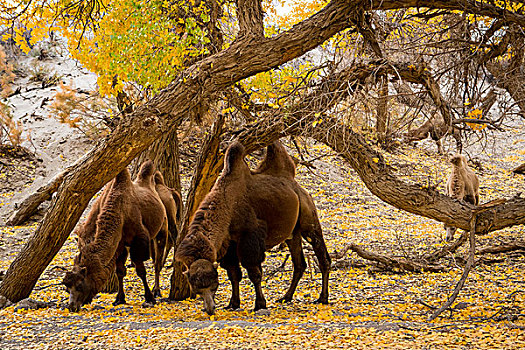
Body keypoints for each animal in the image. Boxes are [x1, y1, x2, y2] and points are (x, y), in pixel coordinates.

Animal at [61, 160, 169, 310]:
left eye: (80, 285)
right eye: (67, 287)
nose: (72, 306)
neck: (120, 214)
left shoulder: (138, 241)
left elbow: (140, 270)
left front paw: (149, 298)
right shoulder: (120, 245)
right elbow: (120, 271)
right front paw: (119, 299)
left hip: (162, 228)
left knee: (157, 262)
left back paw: (157, 291)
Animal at [177, 141, 332, 316]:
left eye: (214, 284)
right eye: (196, 288)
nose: (210, 309)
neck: (228, 206)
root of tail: (296, 184)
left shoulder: (250, 236)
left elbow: (254, 273)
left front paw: (260, 304)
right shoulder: (229, 243)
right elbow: (233, 274)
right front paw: (233, 303)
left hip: (308, 216)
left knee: (321, 252)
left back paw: (323, 298)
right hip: (293, 233)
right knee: (299, 264)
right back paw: (286, 297)